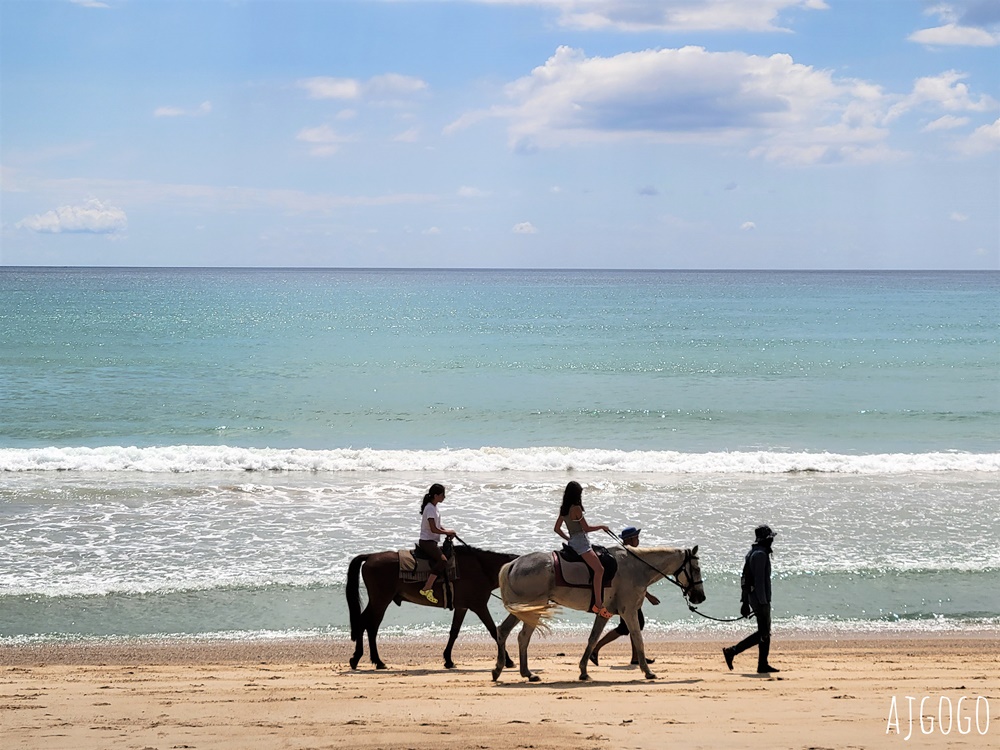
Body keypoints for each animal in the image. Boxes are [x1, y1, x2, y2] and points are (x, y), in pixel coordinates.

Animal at [346, 544, 516, 672]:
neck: (482, 568)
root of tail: (370, 556)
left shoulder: (462, 607)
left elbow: (454, 632)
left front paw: (448, 660)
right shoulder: (479, 606)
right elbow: (495, 632)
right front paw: (508, 660)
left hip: (378, 602)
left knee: (367, 625)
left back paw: (370, 660)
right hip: (380, 601)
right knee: (367, 625)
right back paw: (365, 659)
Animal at [492, 544, 704, 684]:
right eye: (696, 568)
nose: (700, 597)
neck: (637, 568)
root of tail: (512, 564)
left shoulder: (605, 613)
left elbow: (593, 639)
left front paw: (583, 671)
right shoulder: (629, 612)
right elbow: (638, 639)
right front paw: (648, 671)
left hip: (524, 610)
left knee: (505, 632)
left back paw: (506, 670)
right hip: (533, 609)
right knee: (522, 636)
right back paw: (521, 671)